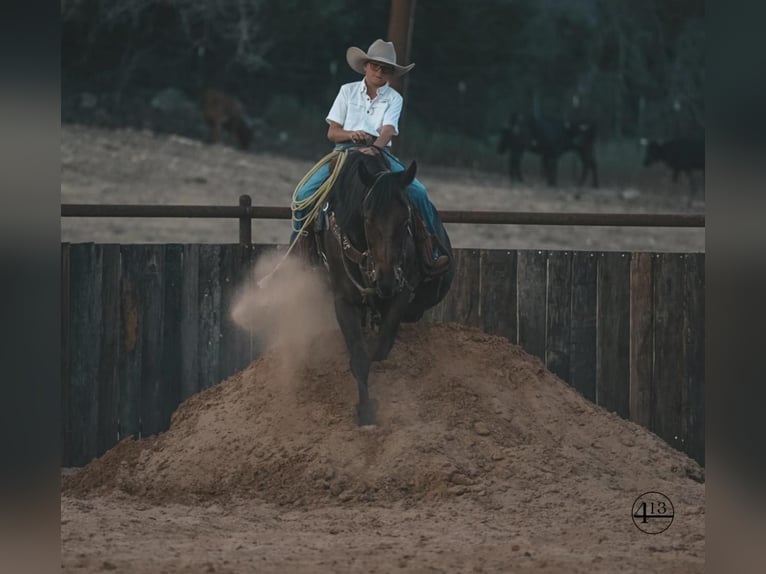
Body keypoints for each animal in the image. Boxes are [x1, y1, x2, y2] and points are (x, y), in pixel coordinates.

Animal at [320, 148, 456, 428]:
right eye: (367, 218)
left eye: (405, 220)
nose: (386, 280)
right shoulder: (344, 300)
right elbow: (359, 357)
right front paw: (365, 412)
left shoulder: (402, 293)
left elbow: (380, 350)